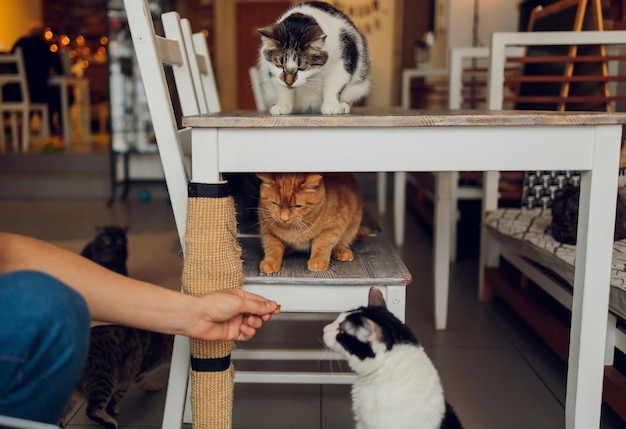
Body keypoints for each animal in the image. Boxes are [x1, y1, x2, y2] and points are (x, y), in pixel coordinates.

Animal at [60, 226, 172, 426]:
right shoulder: (131, 368)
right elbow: (121, 393)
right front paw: (115, 409)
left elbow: (142, 380)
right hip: (102, 378)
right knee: (92, 409)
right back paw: (110, 422)